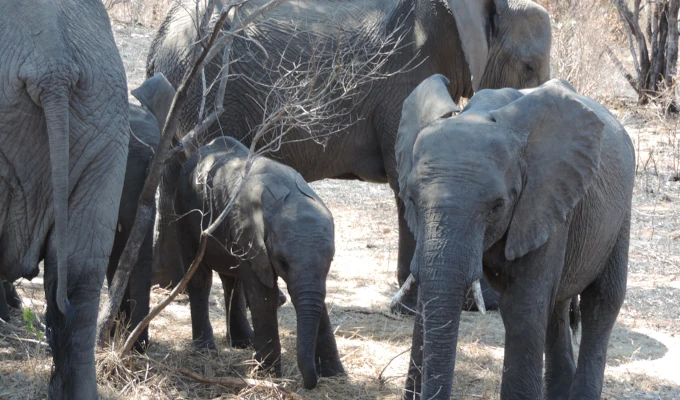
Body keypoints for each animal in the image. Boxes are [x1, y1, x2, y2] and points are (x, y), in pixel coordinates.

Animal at [145, 0, 552, 314]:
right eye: (529, 67)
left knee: (171, 177)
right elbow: (410, 176)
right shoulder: (407, 76)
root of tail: (160, 38)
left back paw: (170, 287)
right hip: (215, 90)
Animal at [155, 136, 346, 390]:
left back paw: (243, 342)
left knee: (232, 279)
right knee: (201, 279)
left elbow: (314, 296)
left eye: (330, 261)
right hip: (184, 211)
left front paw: (336, 376)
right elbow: (264, 295)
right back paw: (206, 350)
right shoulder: (248, 234)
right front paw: (269, 376)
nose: (309, 383)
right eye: (282, 262)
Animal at [396, 74, 636, 396]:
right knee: (557, 308)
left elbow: (522, 308)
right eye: (410, 198)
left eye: (498, 205)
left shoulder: (544, 198)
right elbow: (428, 294)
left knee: (601, 300)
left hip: (621, 212)